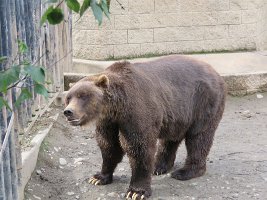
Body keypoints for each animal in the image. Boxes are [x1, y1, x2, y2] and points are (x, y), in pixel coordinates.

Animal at [63, 55, 227, 200]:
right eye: (68, 97)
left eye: (83, 95)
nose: (68, 112)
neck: (116, 107)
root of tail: (215, 71)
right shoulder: (109, 122)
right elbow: (109, 146)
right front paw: (98, 177)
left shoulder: (136, 111)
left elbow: (139, 148)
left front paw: (136, 191)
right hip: (177, 111)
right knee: (170, 139)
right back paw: (159, 167)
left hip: (203, 101)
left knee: (199, 137)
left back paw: (185, 171)